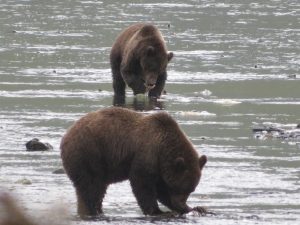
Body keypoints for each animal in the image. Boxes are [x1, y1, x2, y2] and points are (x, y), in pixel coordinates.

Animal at [60, 107, 207, 218]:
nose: (180, 204)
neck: (163, 148)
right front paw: (158, 212)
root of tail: (66, 135)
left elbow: (161, 188)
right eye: (180, 187)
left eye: (192, 189)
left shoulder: (160, 167)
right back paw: (94, 211)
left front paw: (197, 208)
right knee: (92, 186)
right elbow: (142, 183)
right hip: (89, 153)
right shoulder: (147, 153)